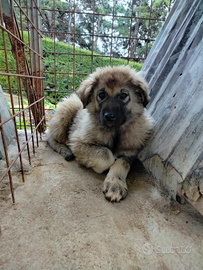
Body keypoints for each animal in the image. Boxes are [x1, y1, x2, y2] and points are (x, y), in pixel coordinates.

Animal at [46, 65, 154, 200]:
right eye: (101, 95)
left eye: (123, 95)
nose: (109, 116)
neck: (114, 130)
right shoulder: (78, 142)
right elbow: (106, 155)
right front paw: (99, 166)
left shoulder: (130, 152)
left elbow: (122, 164)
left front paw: (115, 183)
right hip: (70, 106)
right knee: (49, 137)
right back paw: (65, 150)